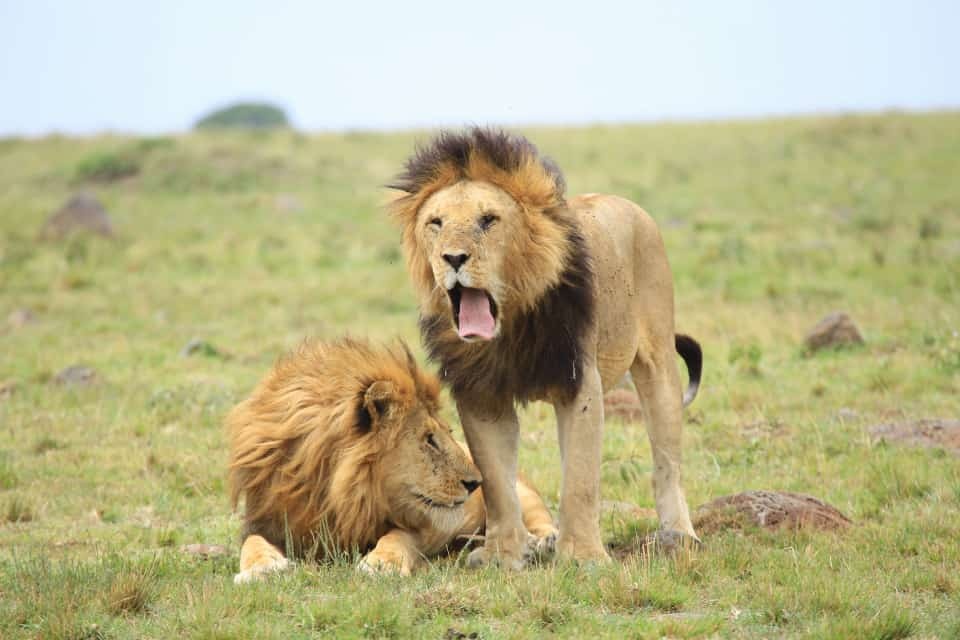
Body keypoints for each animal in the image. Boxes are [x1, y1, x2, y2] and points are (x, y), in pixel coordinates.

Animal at [227, 337, 557, 583]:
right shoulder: (264, 520)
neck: (330, 493)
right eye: (429, 439)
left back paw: (541, 544)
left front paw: (380, 564)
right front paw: (262, 567)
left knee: (536, 518)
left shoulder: (426, 528)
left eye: (449, 432)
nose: (476, 482)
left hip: (518, 491)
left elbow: (399, 536)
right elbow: (251, 542)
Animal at [388, 128, 703, 568]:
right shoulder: (481, 396)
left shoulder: (579, 384)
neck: (509, 328)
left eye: (489, 220)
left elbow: (581, 479)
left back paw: (679, 534)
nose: (453, 257)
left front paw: (583, 557)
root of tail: (629, 205)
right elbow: (497, 482)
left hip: (657, 360)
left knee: (667, 460)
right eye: (436, 223)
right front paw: (502, 555)